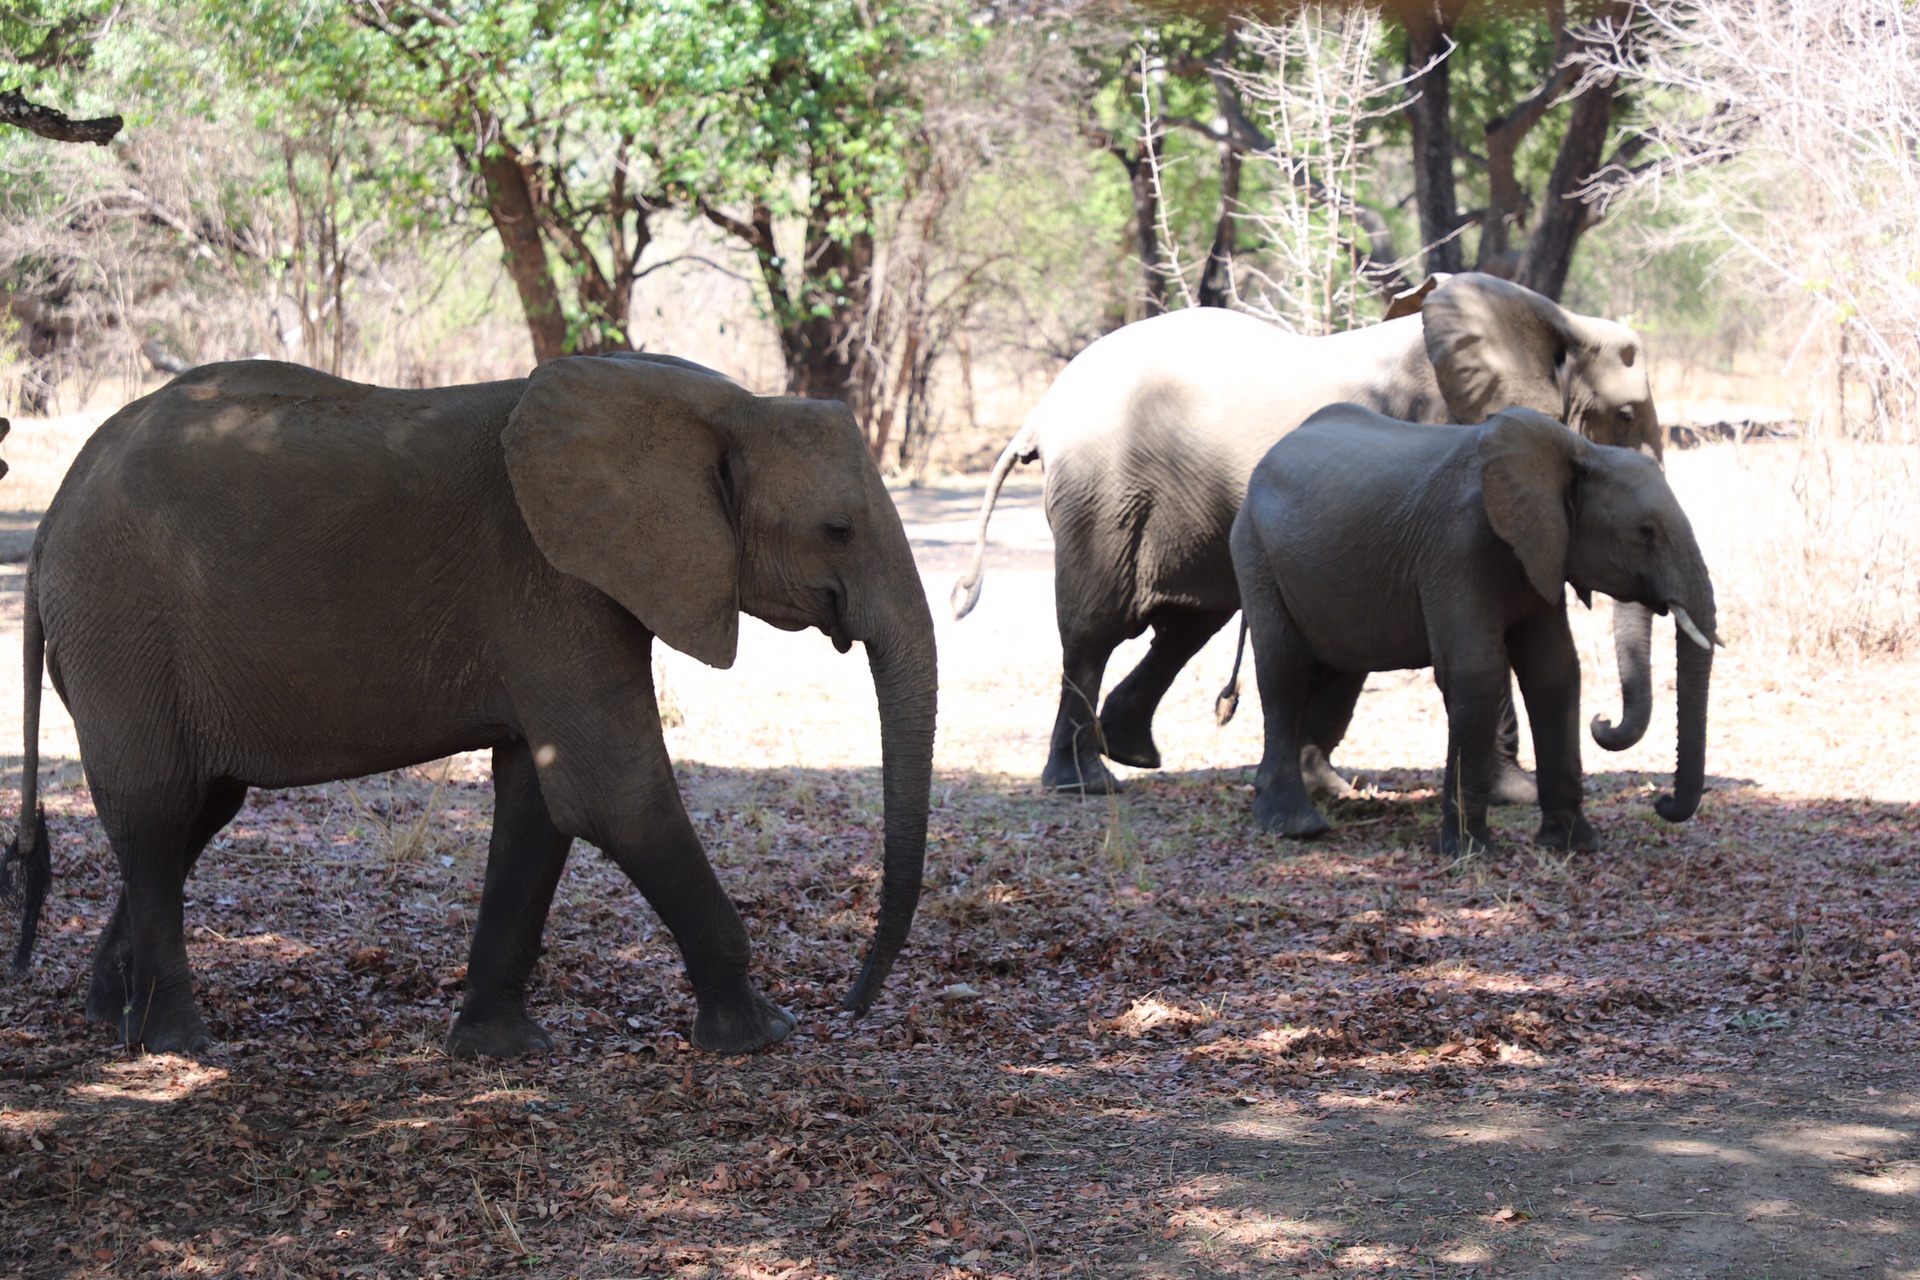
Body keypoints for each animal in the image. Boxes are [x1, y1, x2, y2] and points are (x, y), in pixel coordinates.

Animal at [0, 353, 936, 1059]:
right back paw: (177, 1043)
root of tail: (49, 524)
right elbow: (615, 792)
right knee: (157, 811)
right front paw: (762, 1035)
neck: (720, 405)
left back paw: (109, 1016)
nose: (848, 1006)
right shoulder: (552, 582)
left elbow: (540, 799)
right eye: (839, 530)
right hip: (122, 622)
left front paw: (499, 1049)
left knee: (196, 807)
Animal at [956, 272, 1666, 790]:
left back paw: (1133, 756)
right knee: (1095, 631)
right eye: (1626, 416)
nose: (1604, 724)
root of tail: (1040, 412)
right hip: (1103, 497)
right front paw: (1510, 792)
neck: (1544, 321)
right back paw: (1083, 783)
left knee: (1187, 623)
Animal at [1221, 404, 1720, 855]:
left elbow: (1555, 672)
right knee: (1286, 671)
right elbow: (1475, 672)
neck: (1579, 450)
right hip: (1253, 549)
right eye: (1645, 531)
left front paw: (1574, 846)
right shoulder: (1455, 547)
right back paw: (1297, 826)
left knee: (1333, 670)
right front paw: (1468, 851)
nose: (1662, 803)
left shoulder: (1539, 554)